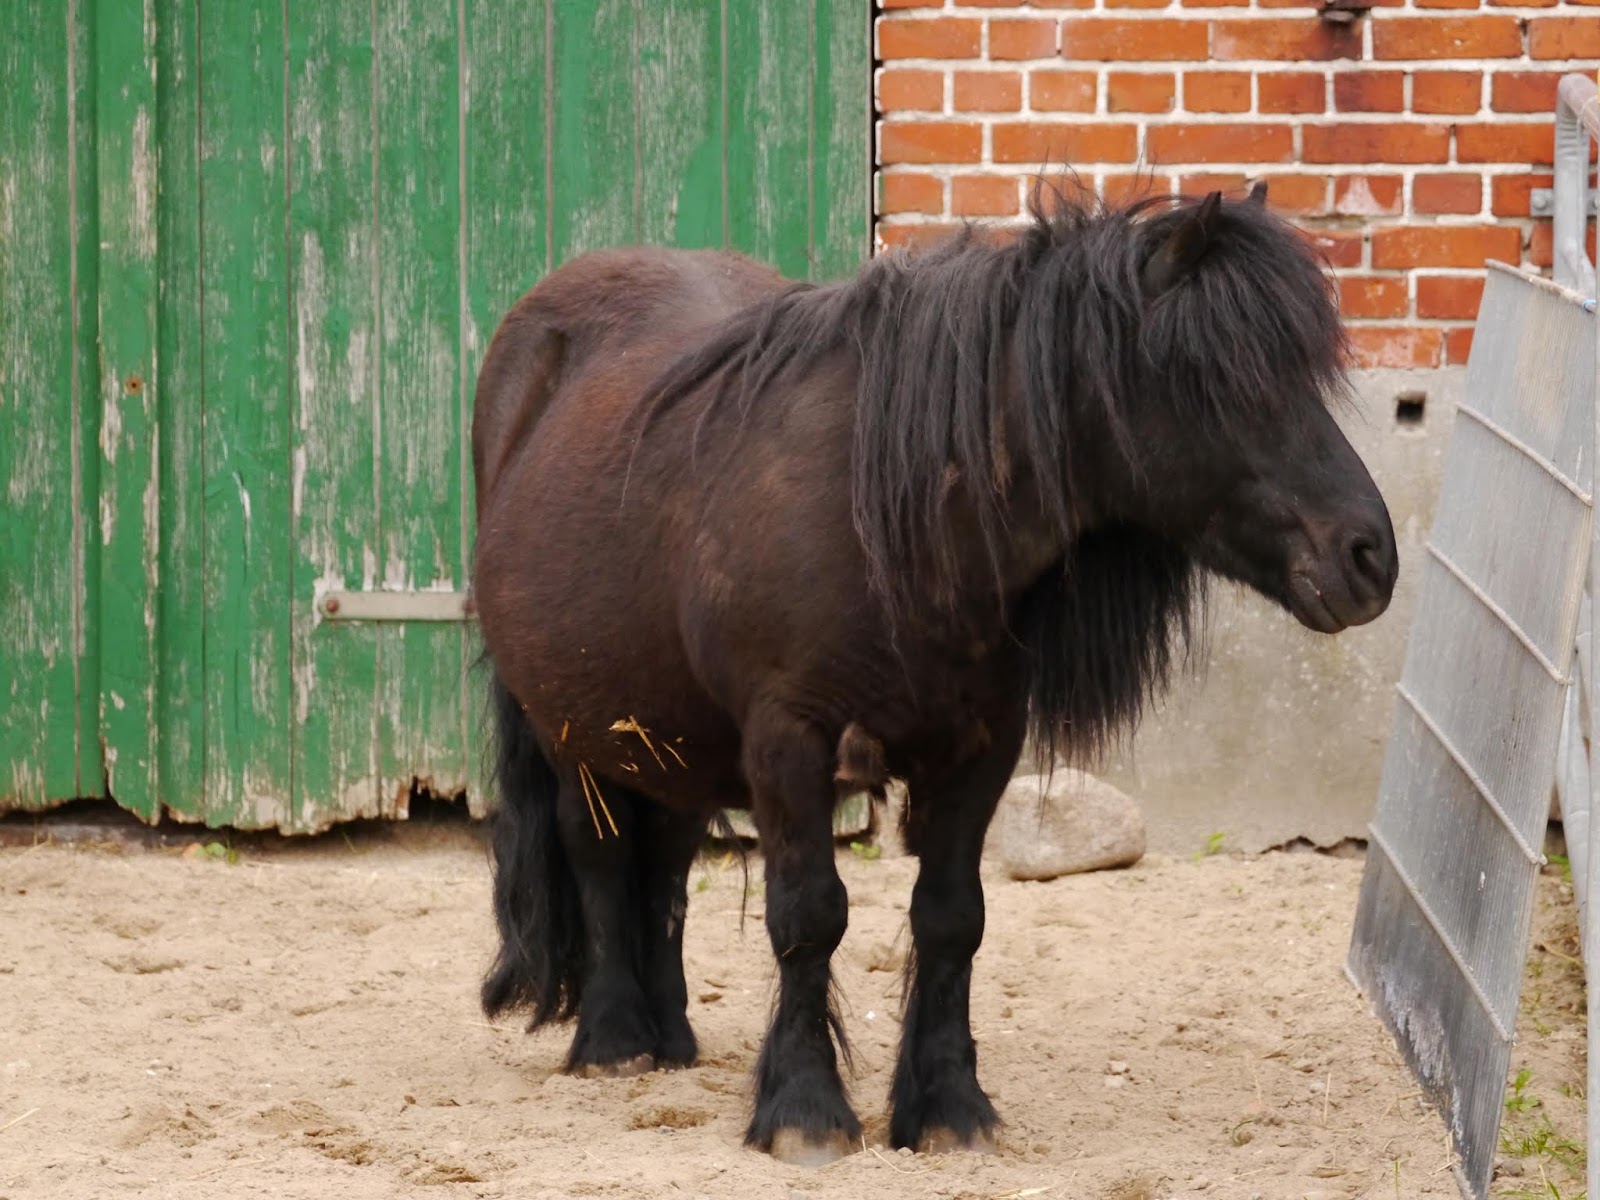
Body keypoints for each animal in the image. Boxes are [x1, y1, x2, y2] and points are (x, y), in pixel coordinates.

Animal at [467, 185, 1395, 1164]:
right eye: (1217, 379)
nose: (1369, 555)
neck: (889, 518)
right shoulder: (788, 741)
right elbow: (808, 917)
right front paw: (804, 1110)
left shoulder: (979, 750)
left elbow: (952, 919)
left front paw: (949, 1105)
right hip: (575, 729)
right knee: (598, 848)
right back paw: (614, 1040)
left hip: (667, 728)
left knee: (669, 862)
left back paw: (672, 1035)